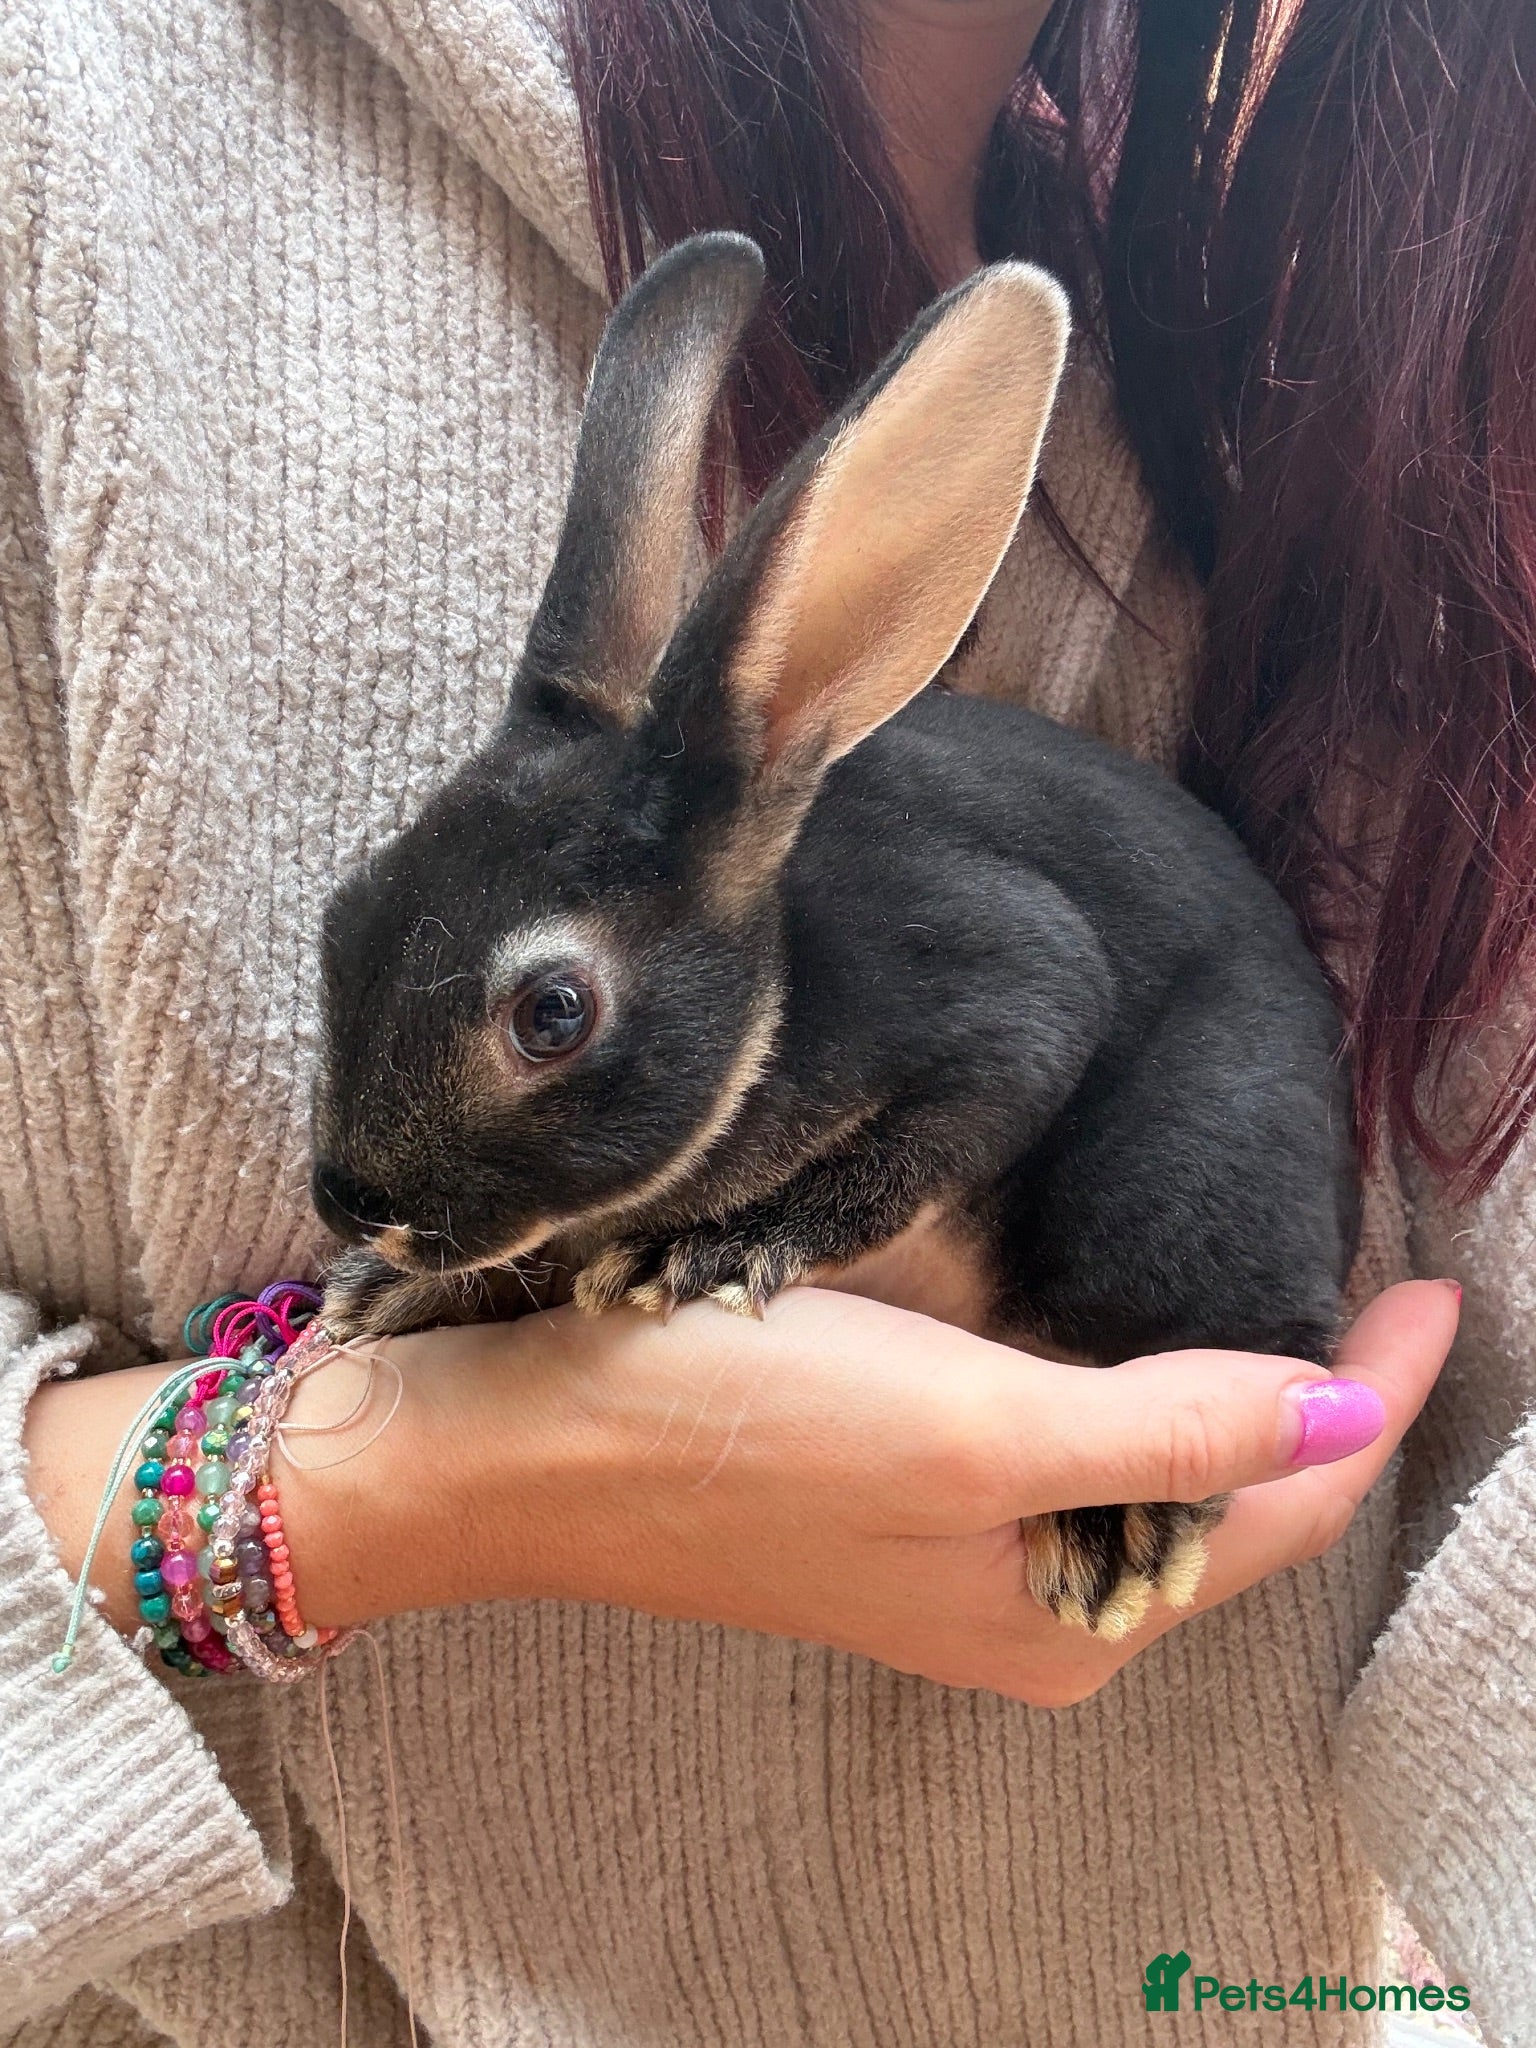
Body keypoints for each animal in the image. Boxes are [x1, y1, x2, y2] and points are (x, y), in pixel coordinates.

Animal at [310, 232, 1360, 1639]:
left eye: (551, 1012)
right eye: (346, 909)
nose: (348, 1200)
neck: (774, 992)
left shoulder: (1001, 987)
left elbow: (974, 1084)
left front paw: (709, 1249)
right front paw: (391, 1294)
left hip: (1177, 1181)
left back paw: (1116, 1527)